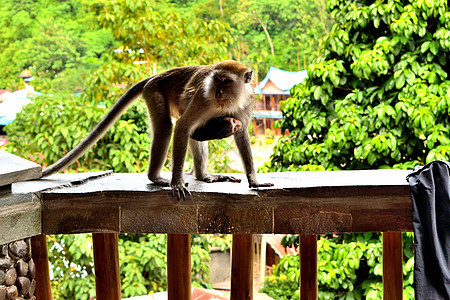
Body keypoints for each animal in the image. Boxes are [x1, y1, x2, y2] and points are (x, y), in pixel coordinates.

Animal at [42, 60, 272, 199]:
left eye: (226, 81)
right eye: (216, 80)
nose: (218, 92)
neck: (229, 100)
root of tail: (156, 76)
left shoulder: (248, 101)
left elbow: (241, 136)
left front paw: (254, 181)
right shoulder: (203, 97)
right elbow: (183, 126)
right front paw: (177, 182)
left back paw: (203, 176)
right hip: (154, 92)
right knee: (166, 128)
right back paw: (157, 177)